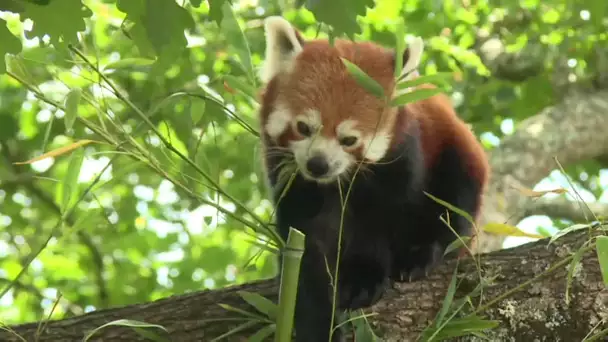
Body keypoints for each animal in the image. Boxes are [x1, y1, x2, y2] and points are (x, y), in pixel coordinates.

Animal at [256, 14, 490, 340]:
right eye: (303, 128)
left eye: (349, 139)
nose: (318, 165)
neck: (336, 185)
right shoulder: (291, 177)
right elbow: (304, 245)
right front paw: (314, 319)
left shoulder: (399, 162)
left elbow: (377, 222)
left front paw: (362, 279)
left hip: (457, 152)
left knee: (454, 204)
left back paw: (422, 253)